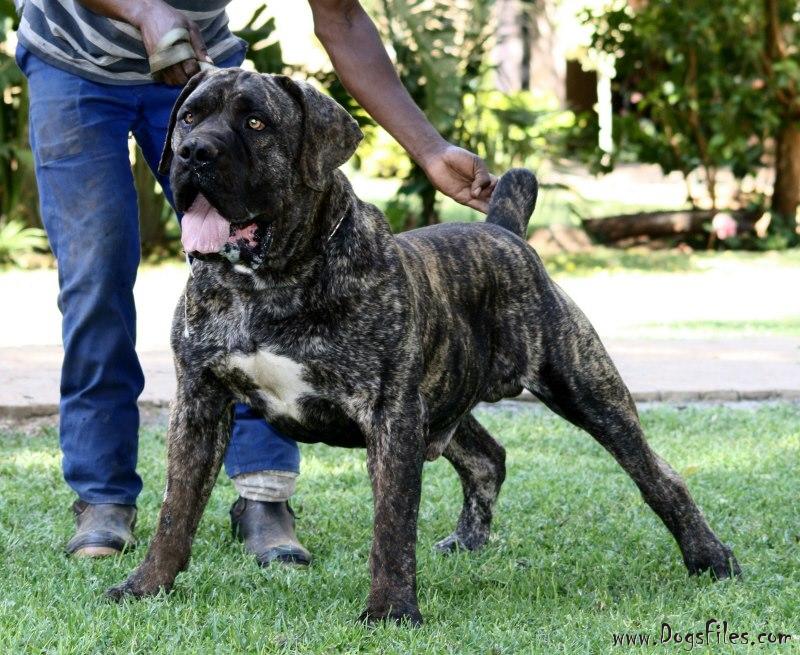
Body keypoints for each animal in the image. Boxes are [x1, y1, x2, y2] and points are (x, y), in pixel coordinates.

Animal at [108, 68, 744, 624]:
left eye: (257, 123)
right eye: (190, 117)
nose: (194, 153)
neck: (269, 280)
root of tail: (504, 232)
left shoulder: (391, 414)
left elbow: (392, 524)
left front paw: (390, 611)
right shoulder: (200, 403)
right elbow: (176, 510)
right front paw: (146, 586)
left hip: (583, 388)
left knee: (657, 474)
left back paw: (711, 558)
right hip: (442, 400)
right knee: (488, 457)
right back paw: (467, 541)